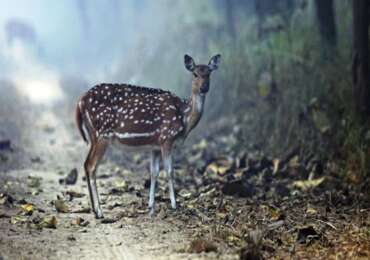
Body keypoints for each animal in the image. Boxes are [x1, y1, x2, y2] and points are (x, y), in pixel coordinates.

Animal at [75, 53, 220, 218]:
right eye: (195, 74)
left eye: (209, 73)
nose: (204, 88)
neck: (184, 118)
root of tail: (80, 101)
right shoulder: (166, 138)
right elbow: (170, 171)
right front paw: (174, 205)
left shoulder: (155, 145)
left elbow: (154, 173)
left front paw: (151, 207)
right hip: (103, 133)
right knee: (92, 166)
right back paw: (99, 211)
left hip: (93, 135)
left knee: (86, 164)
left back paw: (94, 209)